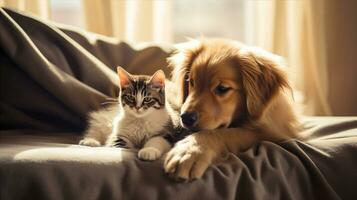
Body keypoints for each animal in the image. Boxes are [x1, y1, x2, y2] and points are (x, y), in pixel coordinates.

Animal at [163, 39, 298, 181]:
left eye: (222, 88)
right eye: (192, 82)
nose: (186, 118)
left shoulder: (272, 133)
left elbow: (226, 133)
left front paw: (189, 151)